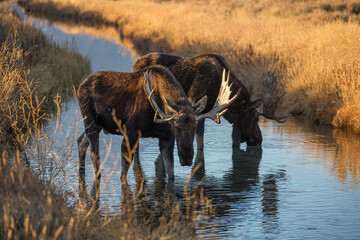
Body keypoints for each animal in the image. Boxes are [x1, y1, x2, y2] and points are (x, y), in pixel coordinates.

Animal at [77, 64, 238, 181]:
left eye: (195, 127)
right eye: (176, 127)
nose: (186, 158)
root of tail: (80, 85)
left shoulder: (166, 138)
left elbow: (170, 173)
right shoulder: (130, 131)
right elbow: (124, 173)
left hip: (98, 124)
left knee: (81, 142)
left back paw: (81, 172)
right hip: (89, 117)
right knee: (94, 152)